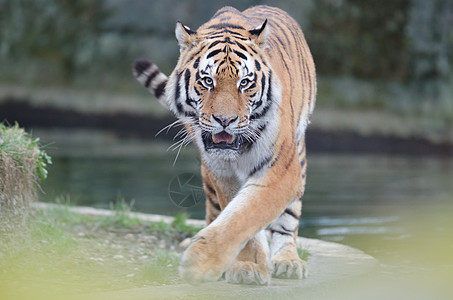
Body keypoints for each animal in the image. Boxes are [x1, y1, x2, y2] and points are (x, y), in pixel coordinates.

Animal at [132, 5, 314, 286]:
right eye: (207, 81)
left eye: (245, 83)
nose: (225, 120)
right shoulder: (222, 172)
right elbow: (237, 215)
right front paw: (248, 265)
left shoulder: (282, 172)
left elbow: (246, 213)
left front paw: (201, 261)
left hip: (298, 158)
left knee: (288, 219)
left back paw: (288, 261)